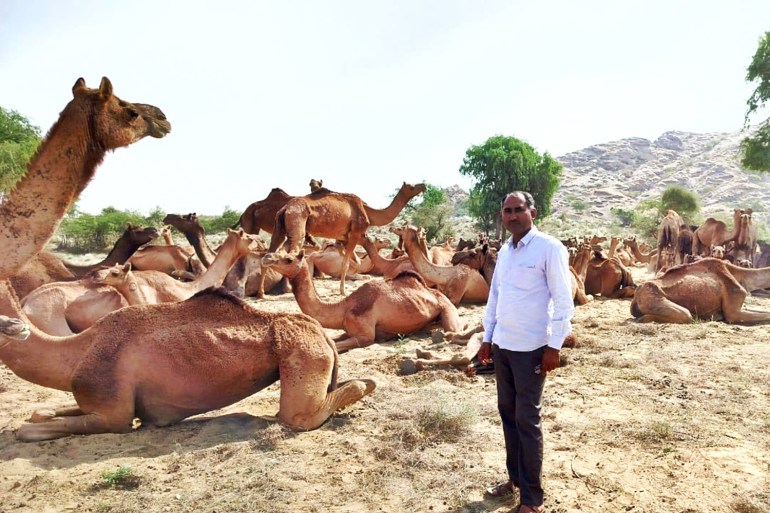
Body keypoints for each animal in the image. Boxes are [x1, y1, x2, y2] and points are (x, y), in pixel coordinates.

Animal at [0, 280, 376, 440]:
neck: (76, 353)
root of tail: (320, 332)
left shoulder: (112, 414)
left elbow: (26, 432)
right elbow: (42, 412)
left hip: (302, 353)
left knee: (298, 415)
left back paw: (365, 384)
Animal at [260, 249, 462, 352]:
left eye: (288, 259)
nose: (266, 257)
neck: (343, 307)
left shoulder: (366, 336)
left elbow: (335, 346)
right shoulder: (348, 330)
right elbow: (333, 339)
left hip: (446, 306)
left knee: (454, 330)